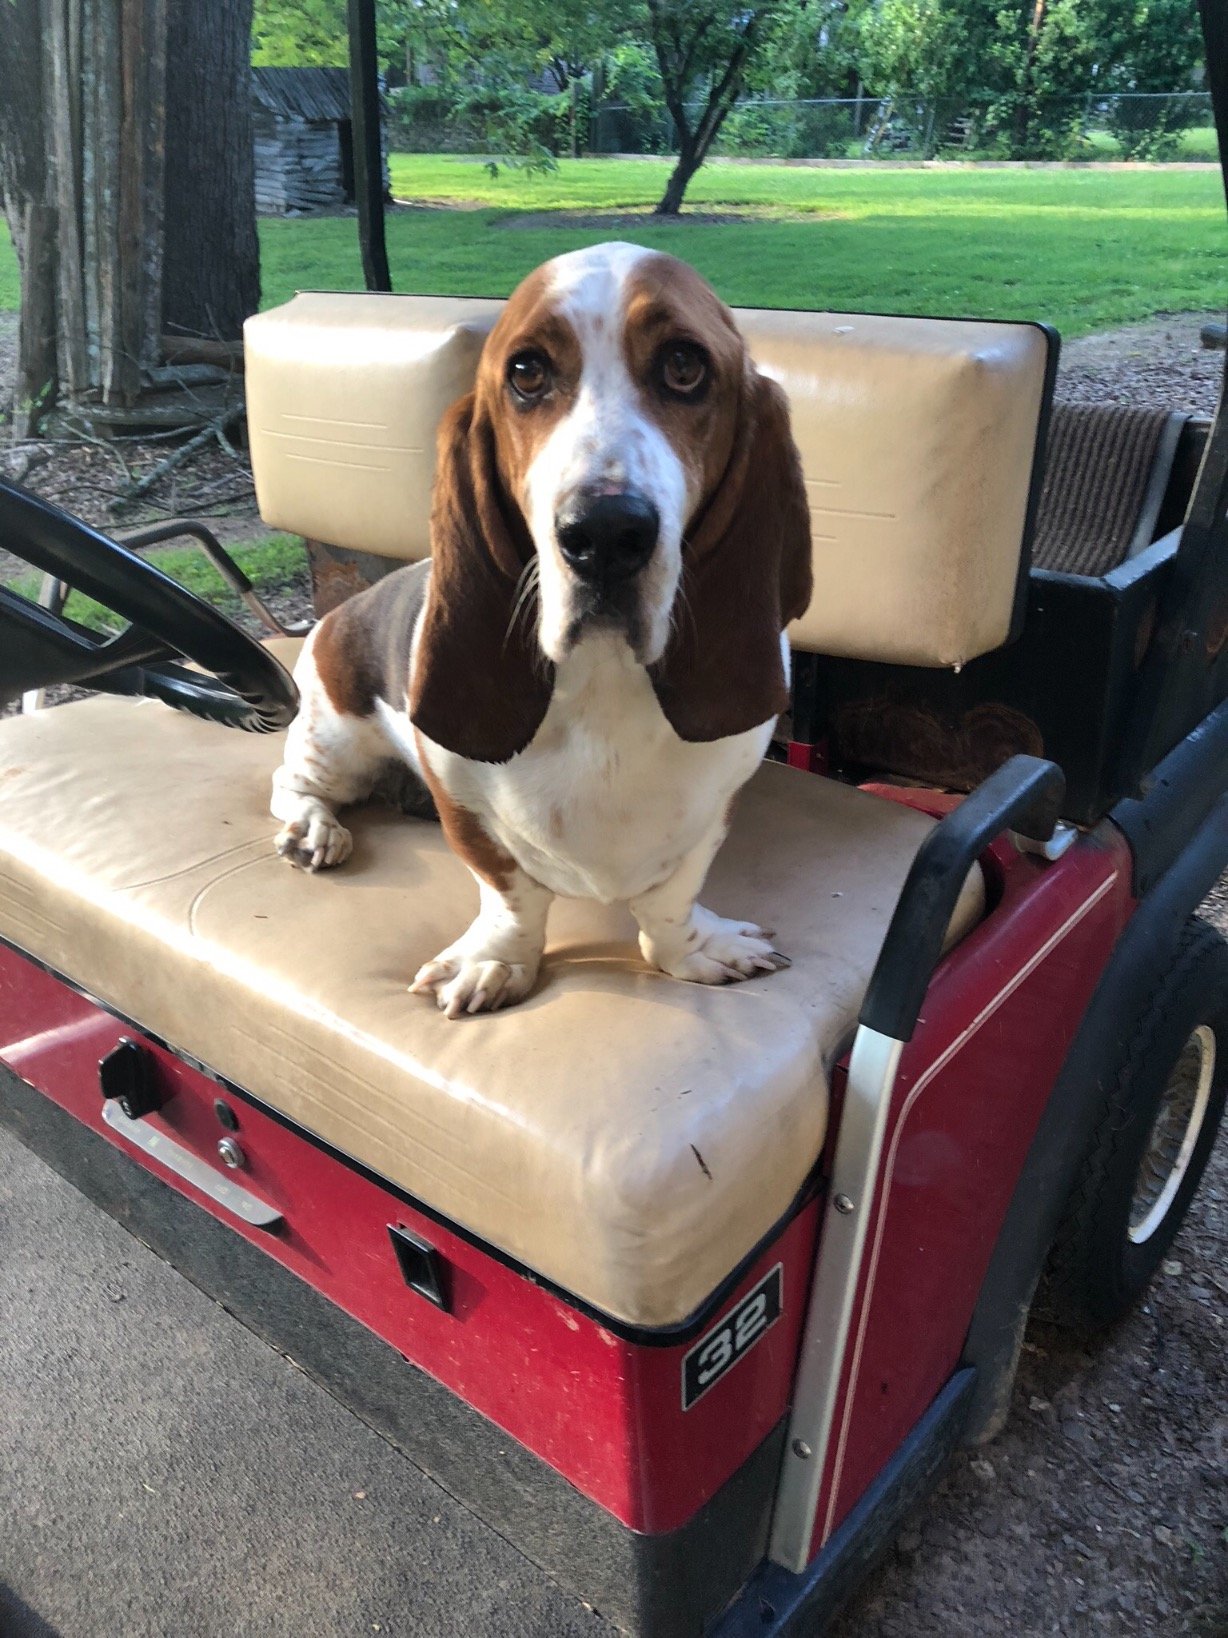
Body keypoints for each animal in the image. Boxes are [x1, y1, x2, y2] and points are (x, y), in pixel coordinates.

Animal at [276, 242, 818, 1015]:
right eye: (527, 373)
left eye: (685, 365)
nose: (605, 533)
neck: (605, 684)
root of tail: (344, 607)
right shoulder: (466, 811)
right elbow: (512, 898)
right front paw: (495, 961)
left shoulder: (714, 809)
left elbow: (670, 901)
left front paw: (695, 950)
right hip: (335, 734)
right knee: (294, 782)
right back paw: (313, 829)